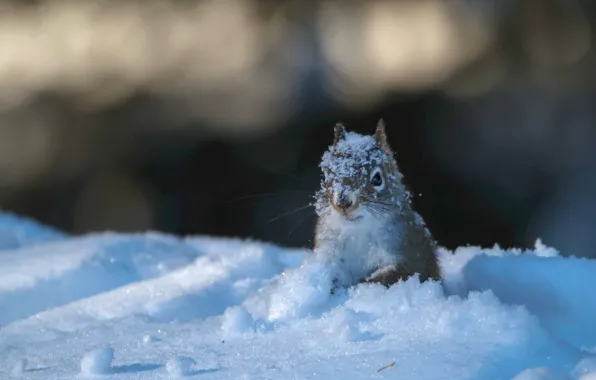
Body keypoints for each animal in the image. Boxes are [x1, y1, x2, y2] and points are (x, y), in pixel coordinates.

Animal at [314, 119, 440, 288]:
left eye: (377, 179)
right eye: (327, 175)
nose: (343, 202)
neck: (358, 232)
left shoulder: (412, 254)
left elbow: (398, 275)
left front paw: (360, 285)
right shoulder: (328, 247)